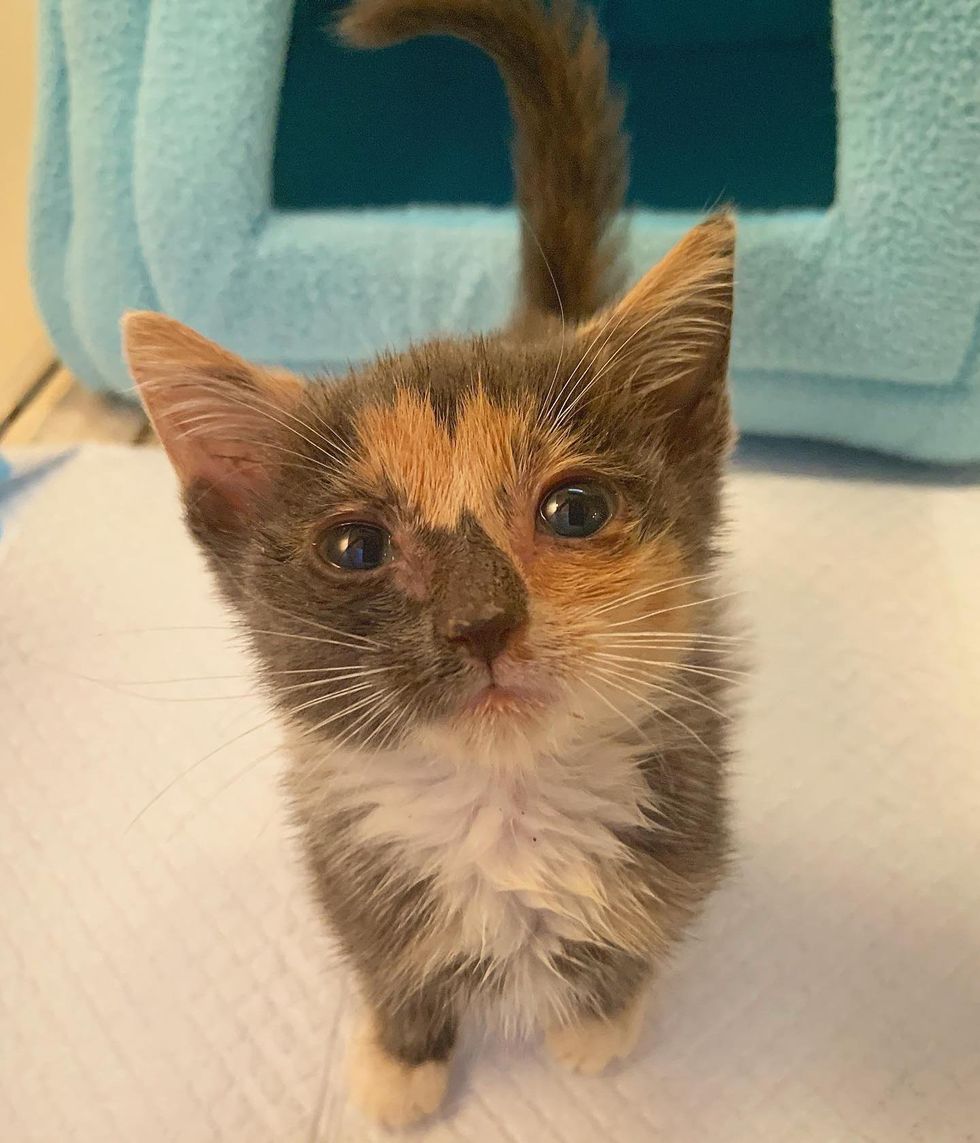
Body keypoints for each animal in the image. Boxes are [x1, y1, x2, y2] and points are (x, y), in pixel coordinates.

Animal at [120, 0, 731, 1124]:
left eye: (575, 510)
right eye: (356, 547)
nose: (481, 620)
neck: (506, 811)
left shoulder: (690, 818)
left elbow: (639, 939)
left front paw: (599, 1021)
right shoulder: (349, 879)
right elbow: (391, 968)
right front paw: (401, 1063)